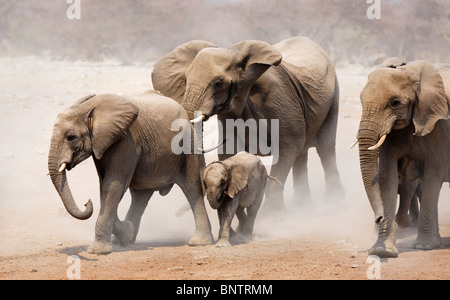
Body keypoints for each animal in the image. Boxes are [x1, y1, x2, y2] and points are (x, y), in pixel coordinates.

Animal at [47, 91, 213, 253]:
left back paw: (199, 242)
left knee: (192, 189)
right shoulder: (102, 146)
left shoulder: (126, 142)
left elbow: (112, 186)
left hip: (188, 145)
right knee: (141, 196)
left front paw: (97, 251)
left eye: (71, 137)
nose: (87, 202)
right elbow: (105, 187)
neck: (88, 108)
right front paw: (126, 232)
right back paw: (127, 239)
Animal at [151, 36, 344, 212]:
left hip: (334, 97)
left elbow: (288, 148)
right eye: (185, 79)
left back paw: (334, 203)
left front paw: (270, 218)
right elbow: (229, 152)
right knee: (302, 154)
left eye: (218, 83)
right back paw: (302, 207)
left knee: (325, 148)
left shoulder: (280, 100)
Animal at [356, 59, 448, 256]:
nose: (378, 217)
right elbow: (386, 177)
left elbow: (433, 174)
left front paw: (424, 247)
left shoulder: (440, 125)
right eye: (361, 100)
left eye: (395, 103)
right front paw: (382, 251)